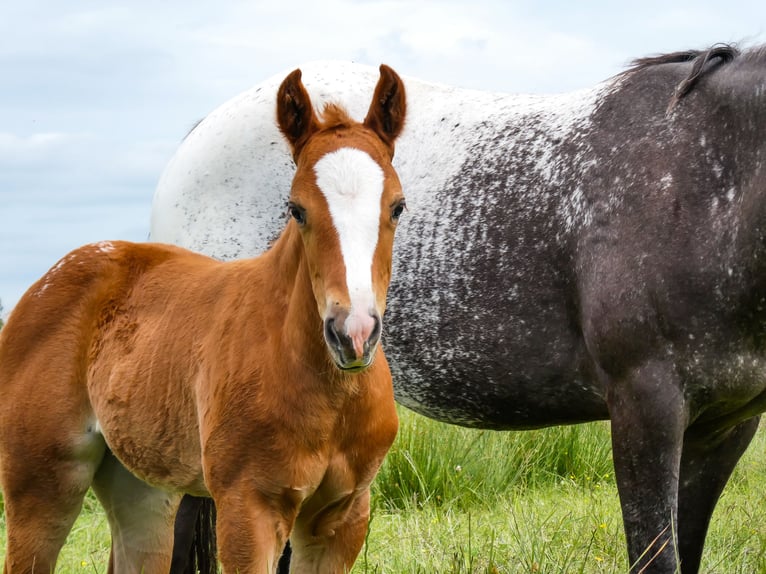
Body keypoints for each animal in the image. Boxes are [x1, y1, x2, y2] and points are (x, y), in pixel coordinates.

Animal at [0, 63, 407, 574]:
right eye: (296, 209)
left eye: (397, 206)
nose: (353, 334)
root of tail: (48, 280)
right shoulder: (247, 506)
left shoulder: (342, 516)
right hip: (42, 482)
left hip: (140, 488)